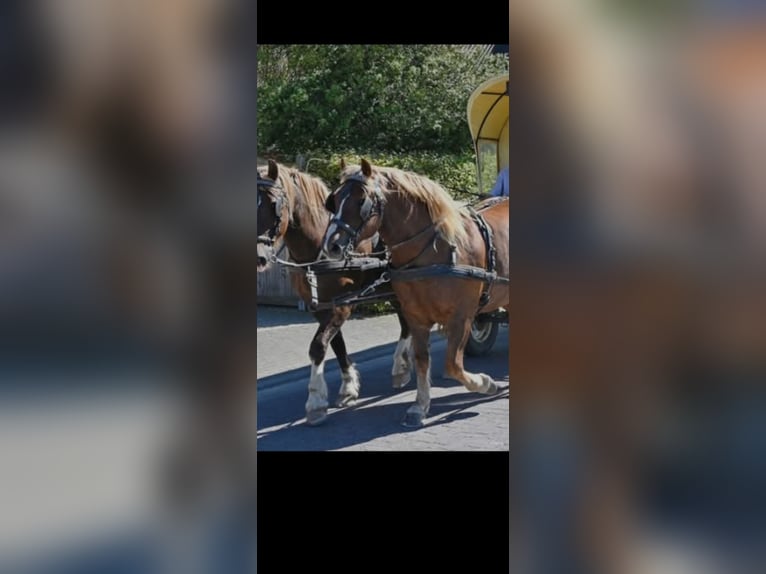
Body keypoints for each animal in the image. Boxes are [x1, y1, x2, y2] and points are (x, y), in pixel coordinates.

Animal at [256, 159, 413, 426]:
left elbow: (318, 346)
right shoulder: (321, 307)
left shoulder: (343, 304)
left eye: (273, 204)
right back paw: (403, 366)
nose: (258, 257)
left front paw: (316, 402)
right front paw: (348, 388)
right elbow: (336, 344)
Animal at [321, 159, 510, 427]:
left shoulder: (462, 316)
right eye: (334, 200)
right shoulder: (416, 316)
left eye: (361, 200)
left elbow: (452, 365)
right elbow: (422, 360)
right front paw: (420, 406)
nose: (332, 245)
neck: (435, 250)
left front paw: (486, 383)